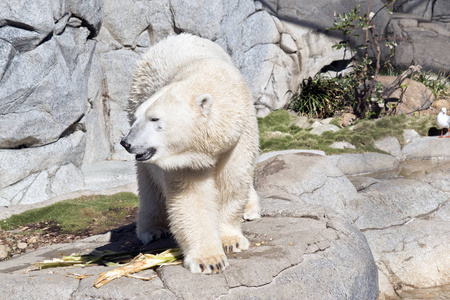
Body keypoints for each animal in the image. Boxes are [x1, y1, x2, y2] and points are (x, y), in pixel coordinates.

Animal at [120, 34, 260, 274]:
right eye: (140, 118)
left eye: (155, 119)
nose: (126, 143)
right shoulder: (185, 158)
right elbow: (191, 196)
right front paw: (210, 260)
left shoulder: (240, 136)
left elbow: (232, 181)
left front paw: (231, 241)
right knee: (148, 183)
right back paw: (153, 229)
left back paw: (251, 209)